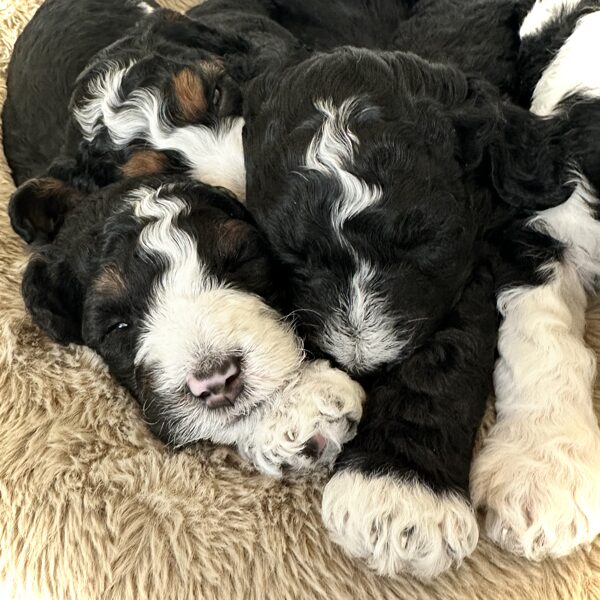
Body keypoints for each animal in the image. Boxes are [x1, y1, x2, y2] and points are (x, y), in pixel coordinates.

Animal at [240, 44, 584, 580]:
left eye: (423, 245)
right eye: (293, 254)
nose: (364, 366)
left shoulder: (470, 263)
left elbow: (443, 359)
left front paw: (400, 495)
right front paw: (293, 403)